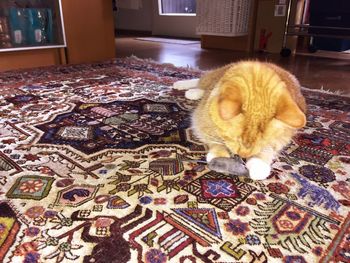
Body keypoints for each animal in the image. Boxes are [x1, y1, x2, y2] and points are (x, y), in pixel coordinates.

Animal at [174, 61, 306, 182]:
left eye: (261, 143)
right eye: (235, 138)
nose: (243, 157)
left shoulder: (283, 136)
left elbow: (269, 149)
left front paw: (258, 163)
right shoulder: (200, 119)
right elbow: (213, 138)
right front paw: (218, 154)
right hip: (210, 79)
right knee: (201, 80)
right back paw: (185, 86)